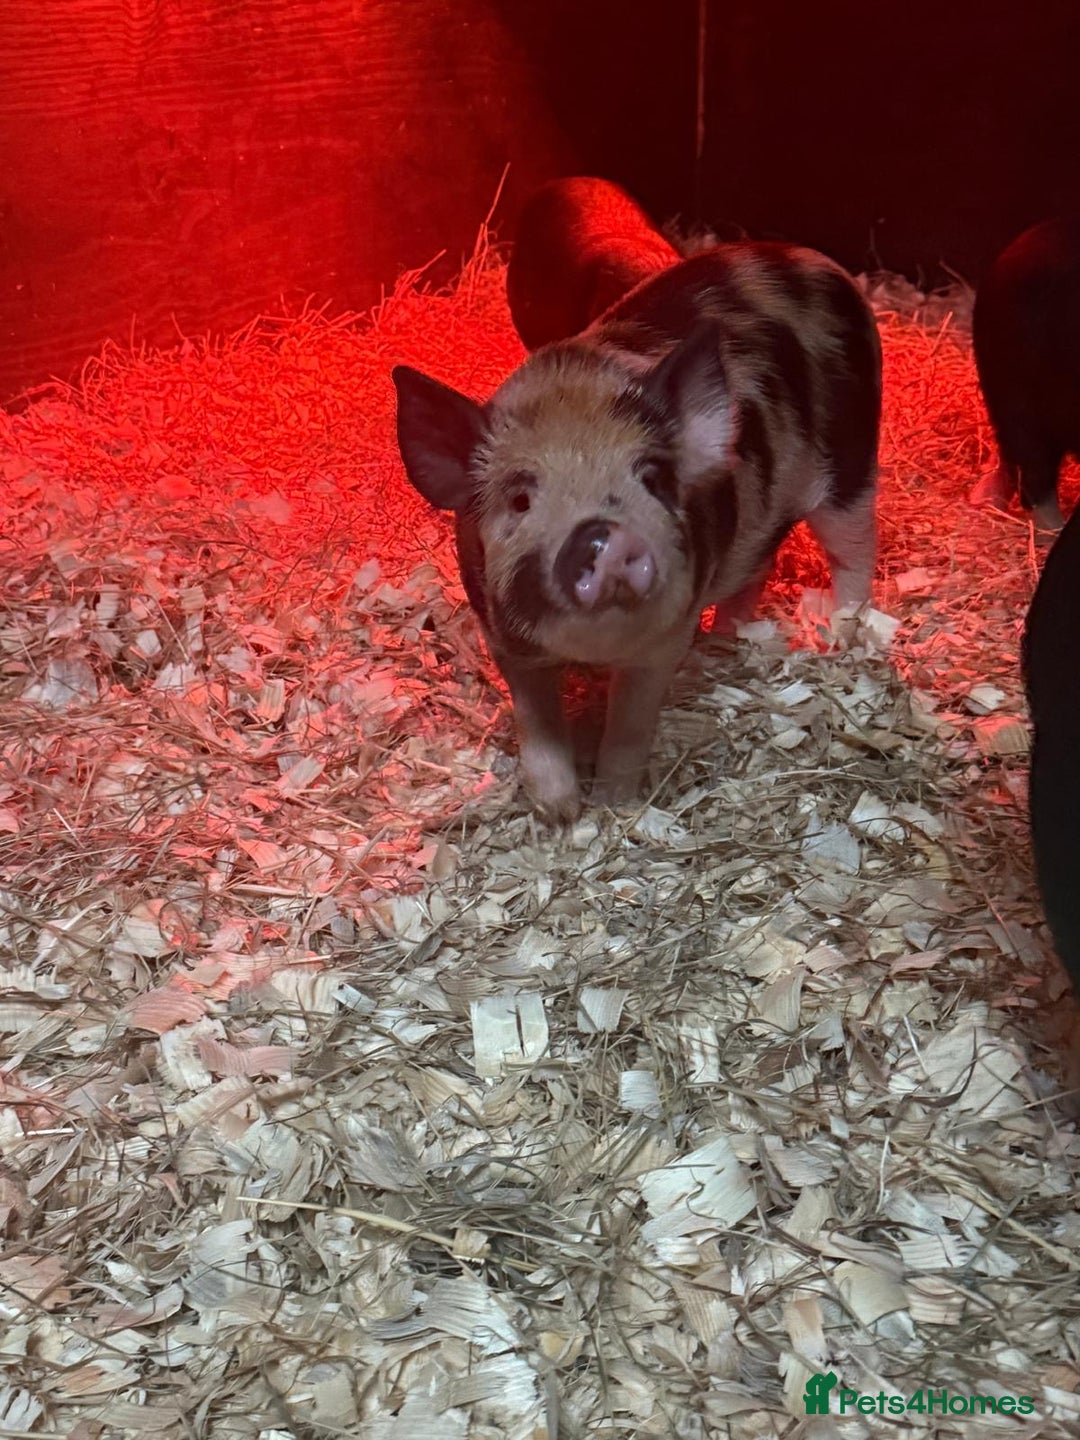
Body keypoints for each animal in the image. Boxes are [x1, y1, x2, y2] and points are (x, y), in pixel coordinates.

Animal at [392, 241, 882, 821]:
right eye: (519, 499)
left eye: (651, 479)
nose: (605, 536)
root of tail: (817, 263)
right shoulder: (504, 639)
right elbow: (538, 724)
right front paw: (559, 813)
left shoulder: (665, 638)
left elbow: (629, 725)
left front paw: (613, 807)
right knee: (755, 569)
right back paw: (722, 645)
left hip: (851, 457)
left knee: (855, 551)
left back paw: (842, 638)